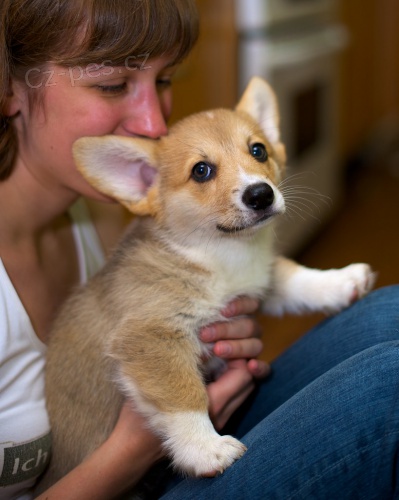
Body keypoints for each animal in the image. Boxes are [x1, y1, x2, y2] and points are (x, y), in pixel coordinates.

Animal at [36, 76, 376, 490]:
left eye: (258, 150)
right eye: (201, 171)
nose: (261, 194)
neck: (221, 254)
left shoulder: (257, 280)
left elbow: (294, 276)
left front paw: (342, 280)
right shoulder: (150, 337)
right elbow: (184, 395)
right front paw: (206, 449)